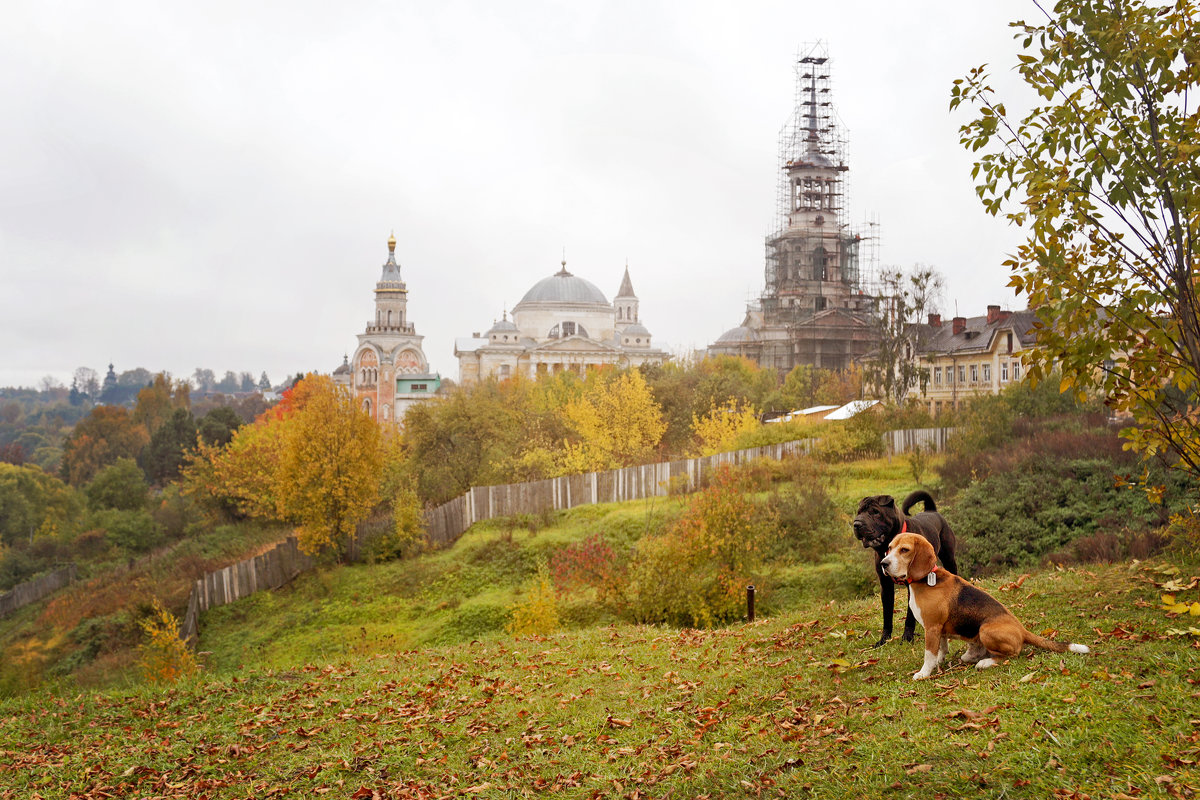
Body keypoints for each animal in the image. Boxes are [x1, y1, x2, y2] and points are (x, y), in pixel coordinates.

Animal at [849, 491, 960, 647]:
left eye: (875, 512)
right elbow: (887, 615)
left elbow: (909, 617)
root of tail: (931, 511)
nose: (857, 524)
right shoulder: (886, 587)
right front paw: (884, 639)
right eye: (859, 512)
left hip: (949, 559)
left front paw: (907, 638)